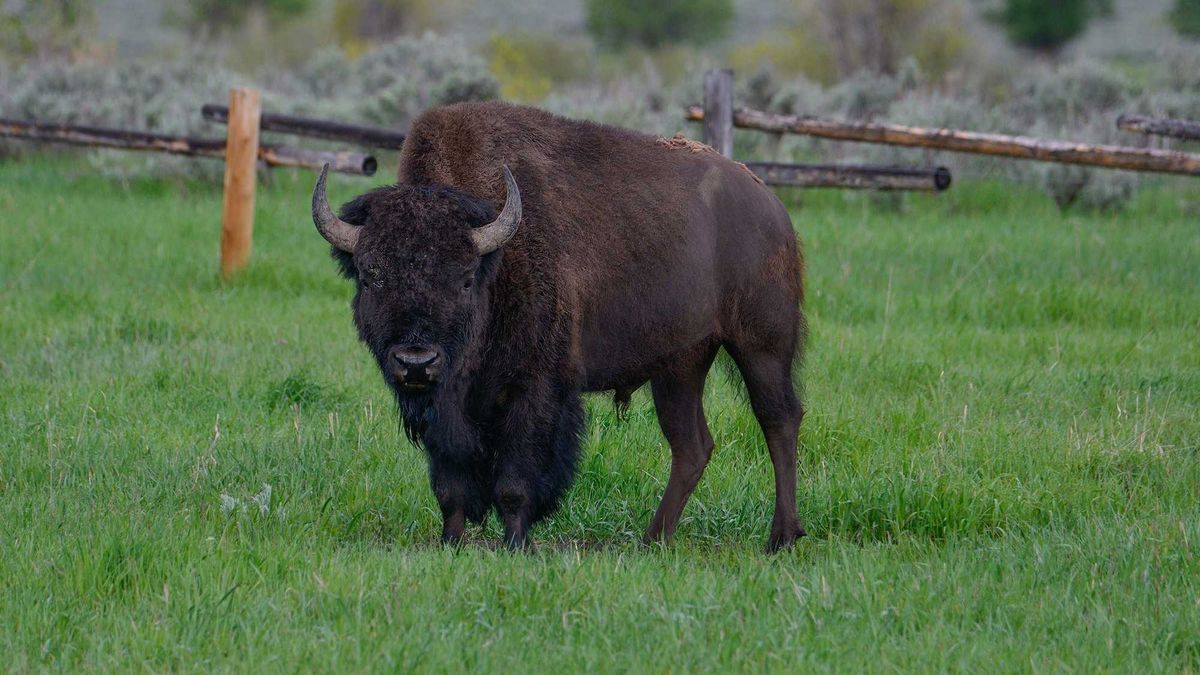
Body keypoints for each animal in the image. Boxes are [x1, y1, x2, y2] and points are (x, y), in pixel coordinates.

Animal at [312, 101, 807, 550]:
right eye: (370, 275)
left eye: (465, 277)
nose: (416, 361)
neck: (497, 259)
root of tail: (769, 205)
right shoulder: (445, 409)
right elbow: (450, 484)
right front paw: (450, 542)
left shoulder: (536, 390)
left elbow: (516, 481)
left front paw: (517, 543)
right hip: (681, 367)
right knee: (691, 445)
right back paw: (654, 540)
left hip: (762, 346)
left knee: (779, 420)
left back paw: (781, 537)